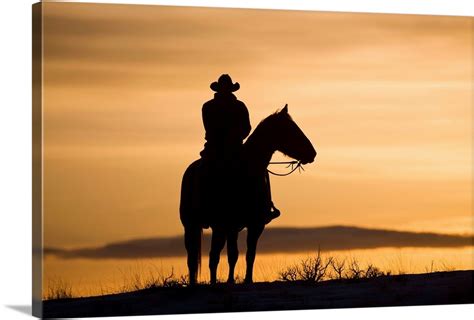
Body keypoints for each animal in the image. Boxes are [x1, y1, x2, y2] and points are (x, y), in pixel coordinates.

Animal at [180, 105, 316, 284]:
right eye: (292, 129)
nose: (312, 153)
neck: (246, 170)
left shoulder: (255, 224)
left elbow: (249, 255)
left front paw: (246, 280)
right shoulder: (229, 224)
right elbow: (232, 254)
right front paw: (231, 281)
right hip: (193, 225)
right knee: (199, 258)